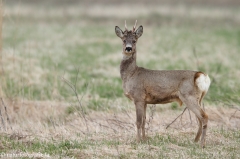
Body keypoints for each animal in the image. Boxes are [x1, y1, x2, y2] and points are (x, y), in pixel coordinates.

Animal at [114, 20, 210, 148]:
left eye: (134, 40)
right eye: (124, 40)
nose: (128, 48)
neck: (131, 74)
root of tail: (199, 75)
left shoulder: (138, 97)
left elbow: (138, 121)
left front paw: (138, 141)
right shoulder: (145, 101)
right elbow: (144, 120)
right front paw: (145, 139)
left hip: (189, 96)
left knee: (204, 117)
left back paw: (202, 144)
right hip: (198, 98)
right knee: (199, 118)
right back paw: (195, 141)